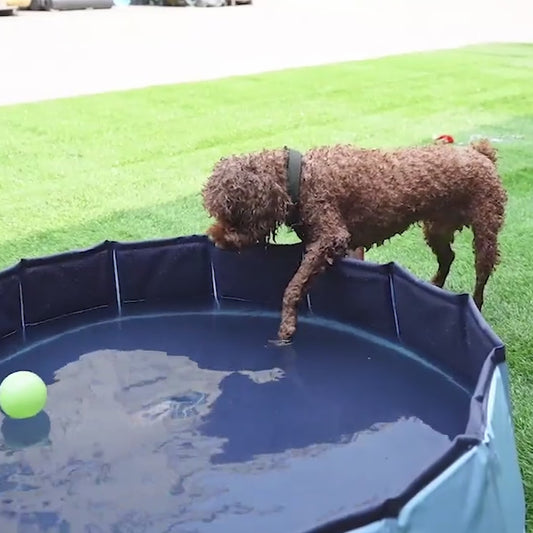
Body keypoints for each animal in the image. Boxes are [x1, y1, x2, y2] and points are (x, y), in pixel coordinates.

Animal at [202, 139, 504, 342]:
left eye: (231, 215)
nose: (215, 238)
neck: (300, 177)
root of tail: (479, 151)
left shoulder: (332, 237)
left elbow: (293, 286)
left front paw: (286, 325)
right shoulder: (343, 247)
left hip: (486, 231)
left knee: (480, 276)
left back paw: (475, 305)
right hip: (436, 229)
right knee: (448, 257)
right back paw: (434, 285)